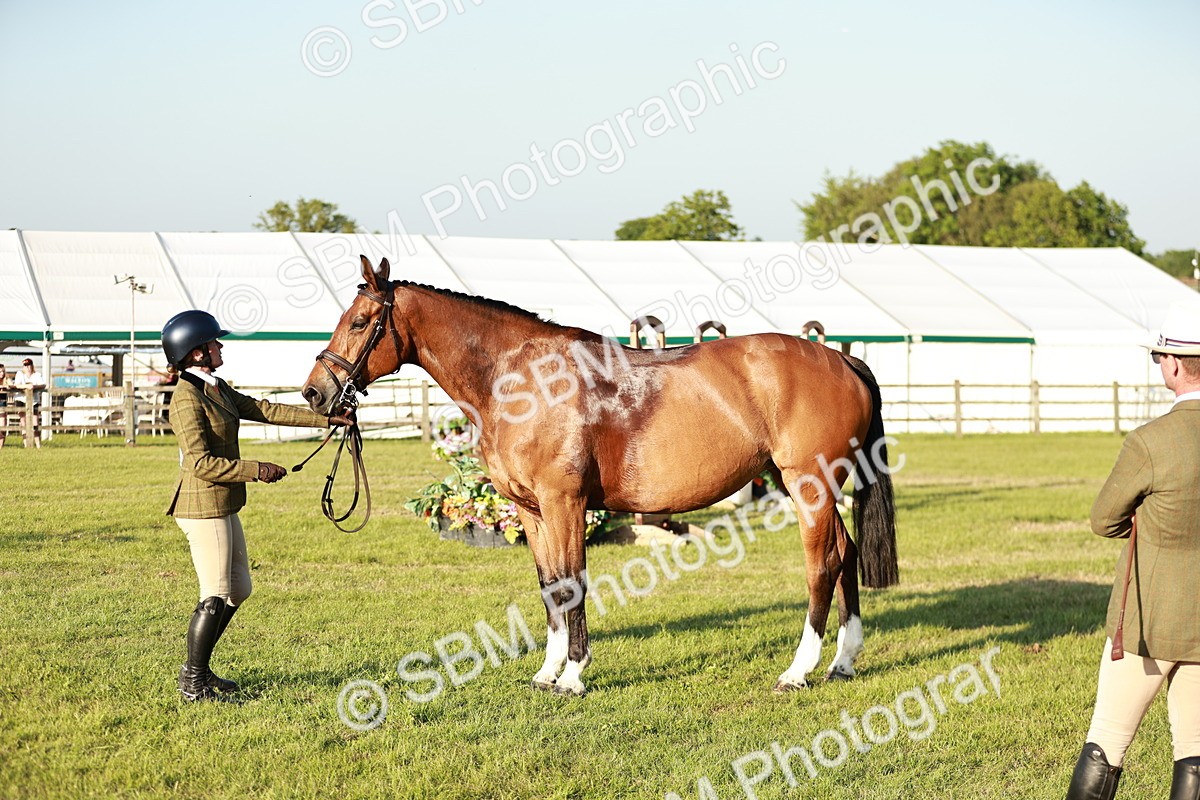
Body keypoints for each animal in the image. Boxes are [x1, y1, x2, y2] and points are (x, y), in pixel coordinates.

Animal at [303, 256, 898, 696]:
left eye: (360, 322)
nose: (315, 392)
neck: (522, 378)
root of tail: (840, 360)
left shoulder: (564, 501)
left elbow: (572, 583)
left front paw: (573, 675)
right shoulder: (530, 509)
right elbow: (549, 587)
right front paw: (547, 671)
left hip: (809, 485)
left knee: (822, 565)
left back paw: (798, 670)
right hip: (809, 486)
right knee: (845, 554)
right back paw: (842, 661)